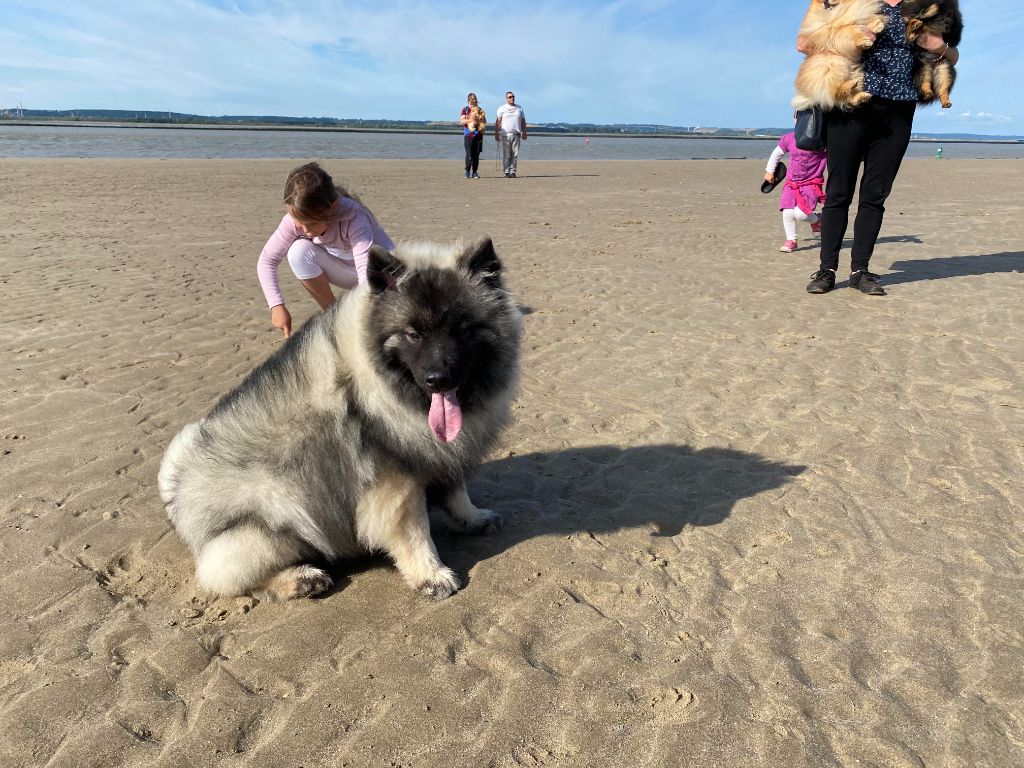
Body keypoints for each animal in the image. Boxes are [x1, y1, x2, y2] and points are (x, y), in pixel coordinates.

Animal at [157, 239, 520, 602]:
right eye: (412, 334)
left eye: (462, 330)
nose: (437, 379)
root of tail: (177, 486)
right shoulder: (396, 481)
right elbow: (415, 533)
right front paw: (432, 575)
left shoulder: (440, 454)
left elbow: (458, 493)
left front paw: (474, 519)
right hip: (273, 518)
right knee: (230, 579)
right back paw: (301, 578)